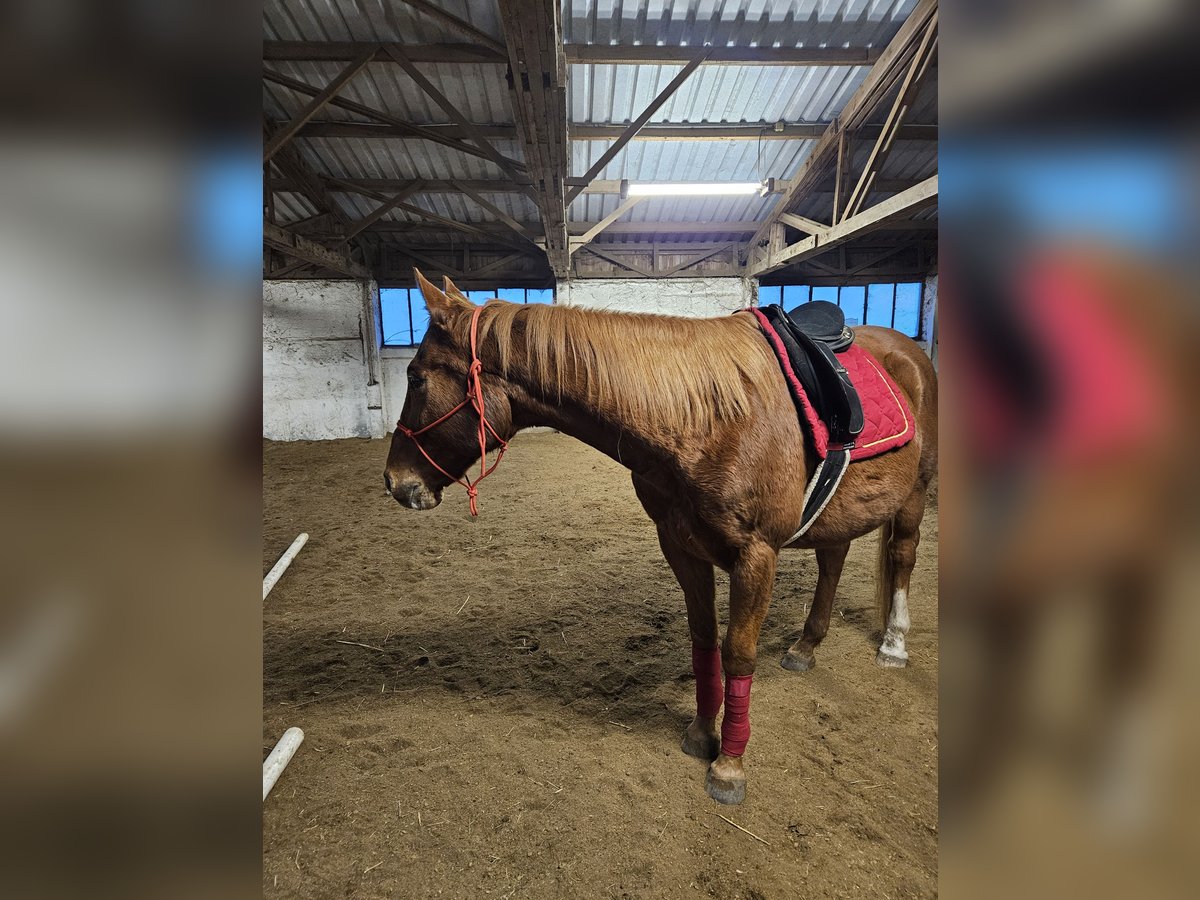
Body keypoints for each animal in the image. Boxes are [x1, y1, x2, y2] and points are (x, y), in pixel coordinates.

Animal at [384, 271, 936, 806]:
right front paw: (701, 732)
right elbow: (703, 641)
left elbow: (738, 652)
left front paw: (729, 764)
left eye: (416, 378)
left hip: (915, 493)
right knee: (834, 557)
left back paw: (893, 643)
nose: (395, 482)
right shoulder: (681, 547)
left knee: (902, 556)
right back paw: (806, 645)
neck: (705, 417)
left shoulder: (756, 555)